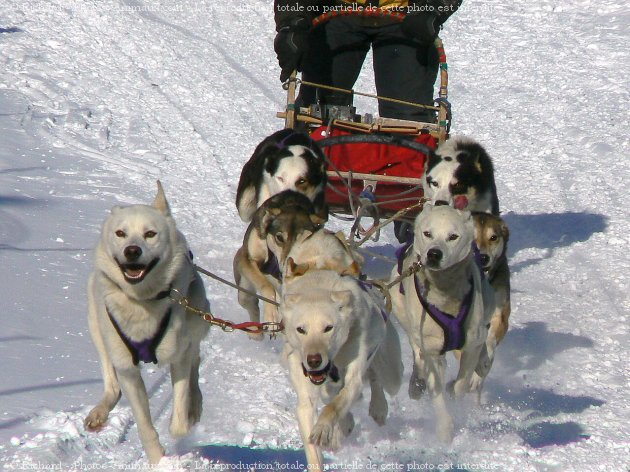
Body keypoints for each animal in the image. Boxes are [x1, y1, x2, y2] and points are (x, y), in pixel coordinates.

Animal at [84, 182, 211, 464]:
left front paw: (184, 418)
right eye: (120, 233)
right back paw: (99, 412)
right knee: (112, 385)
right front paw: (156, 458)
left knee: (196, 359)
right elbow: (143, 424)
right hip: (96, 326)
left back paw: (195, 404)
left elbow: (179, 418)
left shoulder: (179, 354)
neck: (142, 301)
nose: (132, 250)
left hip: (199, 319)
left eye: (150, 234)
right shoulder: (127, 369)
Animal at [282, 270, 404, 468]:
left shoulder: (353, 377)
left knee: (378, 378)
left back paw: (378, 407)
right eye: (301, 329)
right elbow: (313, 447)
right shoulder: (305, 400)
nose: (313, 360)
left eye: (328, 328)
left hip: (392, 374)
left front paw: (323, 427)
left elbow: (334, 406)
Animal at [390, 204, 498, 442]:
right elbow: (436, 389)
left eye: (453, 236)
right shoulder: (433, 351)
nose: (433, 253)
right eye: (427, 233)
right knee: (417, 352)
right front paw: (444, 428)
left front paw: (453, 388)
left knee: (483, 355)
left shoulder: (471, 344)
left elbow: (461, 383)